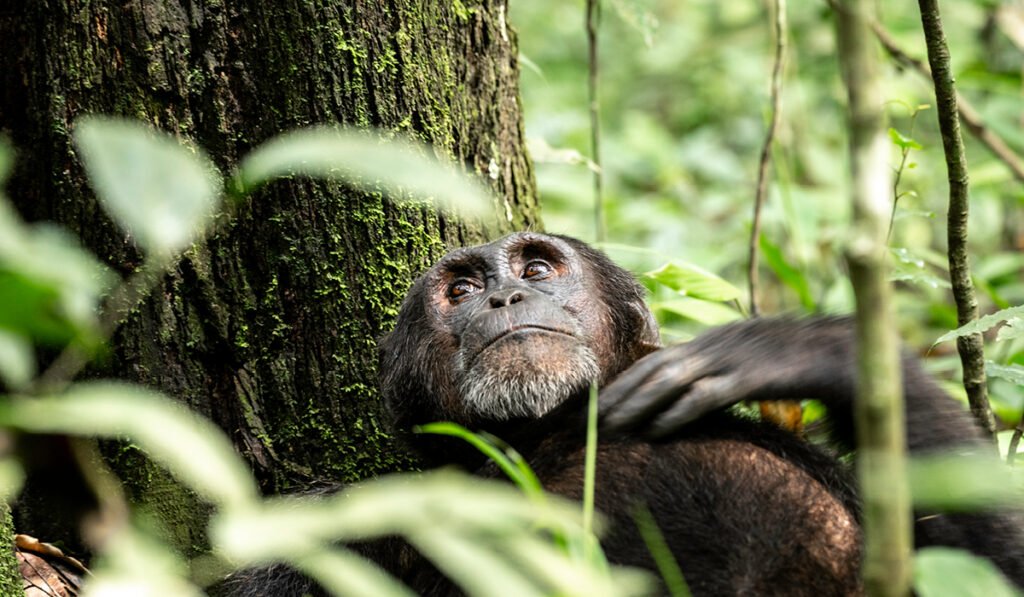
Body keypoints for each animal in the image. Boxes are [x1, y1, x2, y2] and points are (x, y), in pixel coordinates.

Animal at [225, 232, 1024, 595]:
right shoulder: (342, 523)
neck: (548, 439)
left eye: (537, 267)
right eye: (459, 290)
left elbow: (993, 565)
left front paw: (792, 349)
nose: (504, 295)